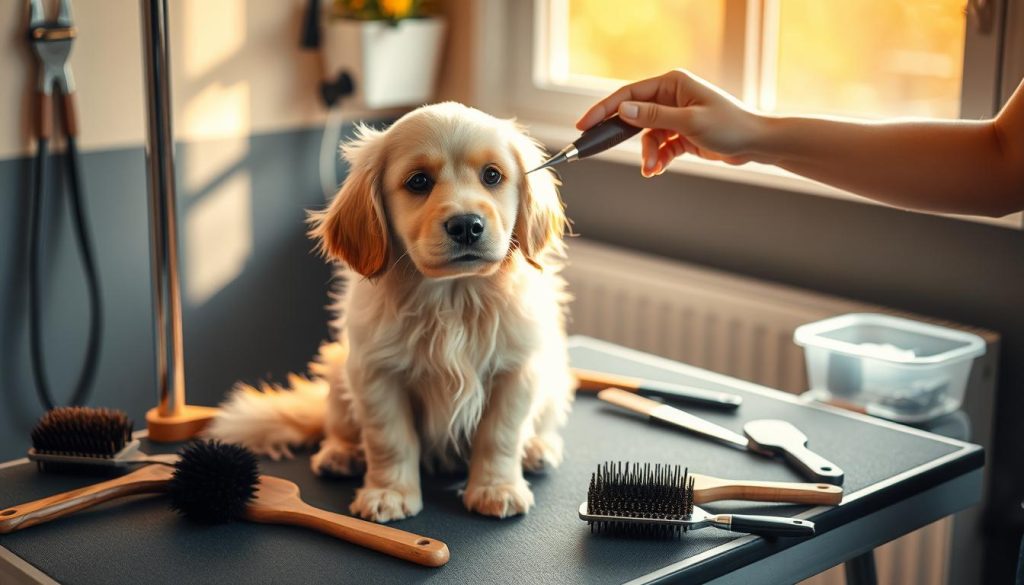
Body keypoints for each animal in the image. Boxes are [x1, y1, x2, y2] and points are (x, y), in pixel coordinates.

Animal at [205, 100, 577, 522]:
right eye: (418, 182)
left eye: (492, 175)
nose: (467, 225)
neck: (452, 298)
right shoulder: (376, 374)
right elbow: (390, 440)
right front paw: (390, 493)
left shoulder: (516, 371)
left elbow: (500, 436)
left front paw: (496, 488)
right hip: (339, 368)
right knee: (338, 426)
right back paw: (341, 454)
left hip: (555, 377)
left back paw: (538, 448)